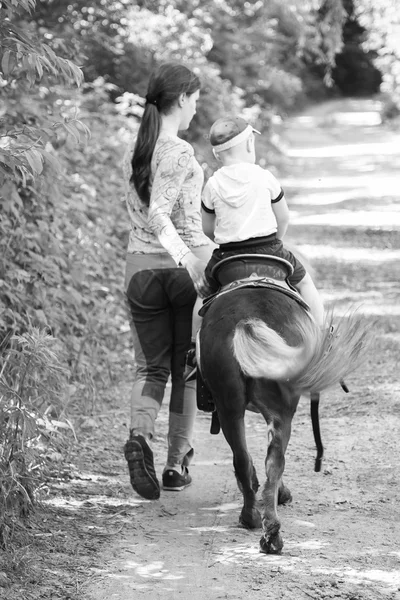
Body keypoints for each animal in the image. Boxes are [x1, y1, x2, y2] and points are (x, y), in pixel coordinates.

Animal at [198, 253, 370, 552]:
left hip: (230, 407)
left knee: (245, 459)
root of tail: (247, 319)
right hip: (279, 410)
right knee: (274, 462)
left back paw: (258, 522)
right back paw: (268, 528)